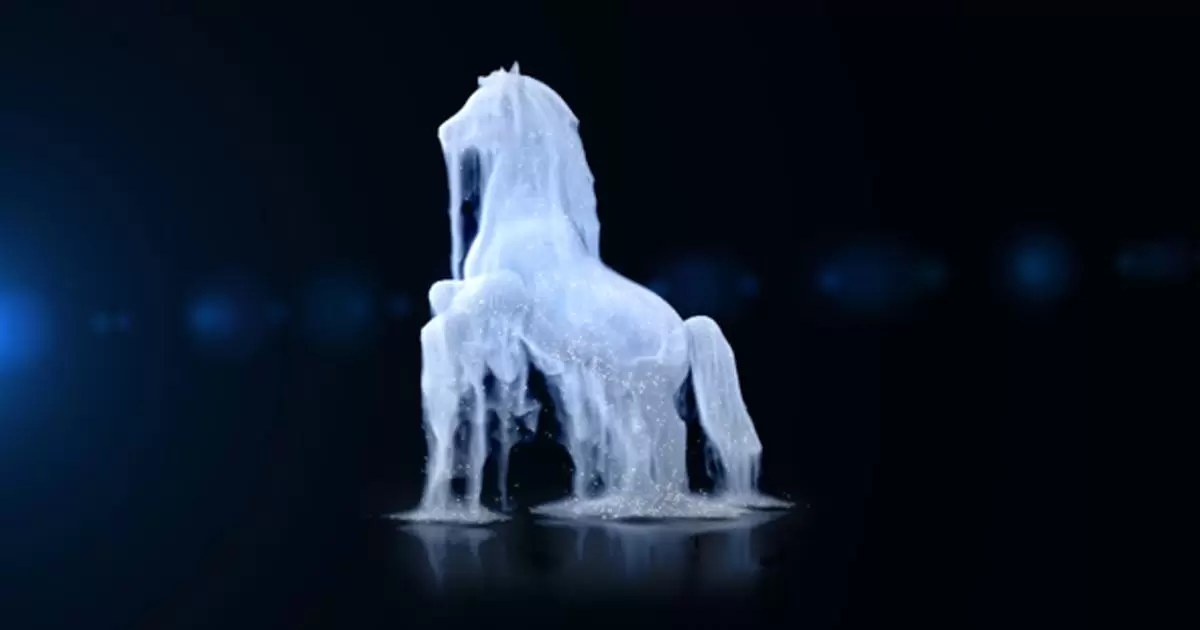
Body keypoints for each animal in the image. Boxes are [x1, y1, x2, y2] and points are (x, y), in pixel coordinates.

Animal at [409, 63, 787, 523]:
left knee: (670, 433)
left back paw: (656, 505)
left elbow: (479, 298)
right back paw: (625, 501)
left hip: (650, 392)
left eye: (485, 107)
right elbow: (441, 290)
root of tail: (684, 329)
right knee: (639, 440)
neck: (524, 212)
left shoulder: (510, 292)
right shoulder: (473, 288)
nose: (445, 131)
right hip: (621, 391)